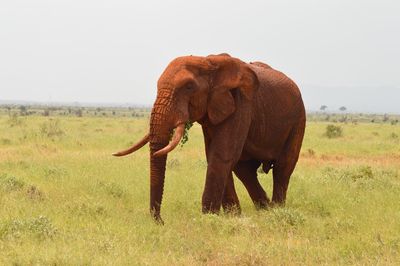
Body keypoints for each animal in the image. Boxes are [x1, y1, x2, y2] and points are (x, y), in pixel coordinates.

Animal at [112, 53, 306, 223]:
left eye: (189, 86)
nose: (160, 221)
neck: (209, 62)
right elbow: (215, 154)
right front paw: (230, 217)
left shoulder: (241, 103)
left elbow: (222, 155)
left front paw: (209, 217)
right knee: (244, 170)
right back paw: (264, 209)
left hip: (298, 119)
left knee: (283, 167)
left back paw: (276, 211)